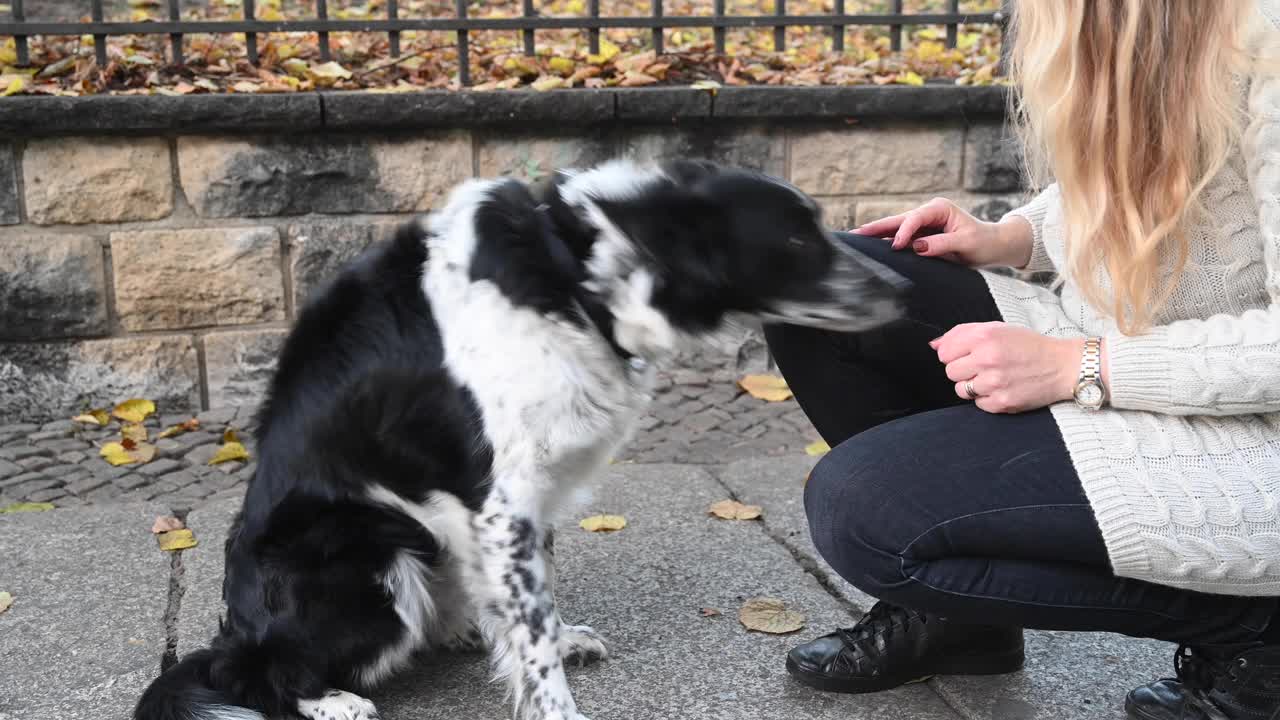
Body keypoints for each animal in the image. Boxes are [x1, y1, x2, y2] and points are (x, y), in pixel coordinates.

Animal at [135, 158, 906, 717]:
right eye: (799, 237)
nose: (902, 284)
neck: (577, 273)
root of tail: (235, 626)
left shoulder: (526, 500)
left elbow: (540, 604)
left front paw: (556, 641)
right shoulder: (501, 499)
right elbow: (531, 636)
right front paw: (556, 707)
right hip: (372, 562)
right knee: (249, 672)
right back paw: (331, 700)